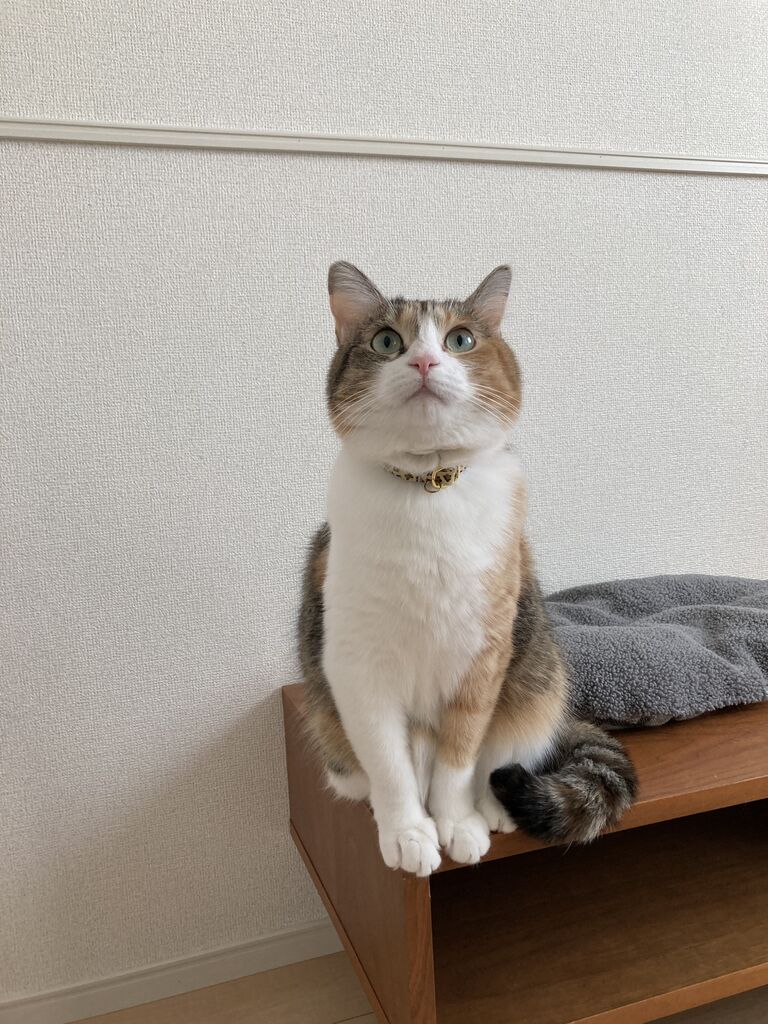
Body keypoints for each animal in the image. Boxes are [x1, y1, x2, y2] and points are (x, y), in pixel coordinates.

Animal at [298, 261, 636, 876]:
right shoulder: (356, 665)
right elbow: (388, 762)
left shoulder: (483, 655)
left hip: (536, 681)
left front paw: (456, 823)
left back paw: (492, 809)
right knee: (362, 767)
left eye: (461, 340)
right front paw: (409, 832)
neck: (428, 490)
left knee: (497, 759)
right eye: (387, 342)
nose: (426, 362)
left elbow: (459, 758)